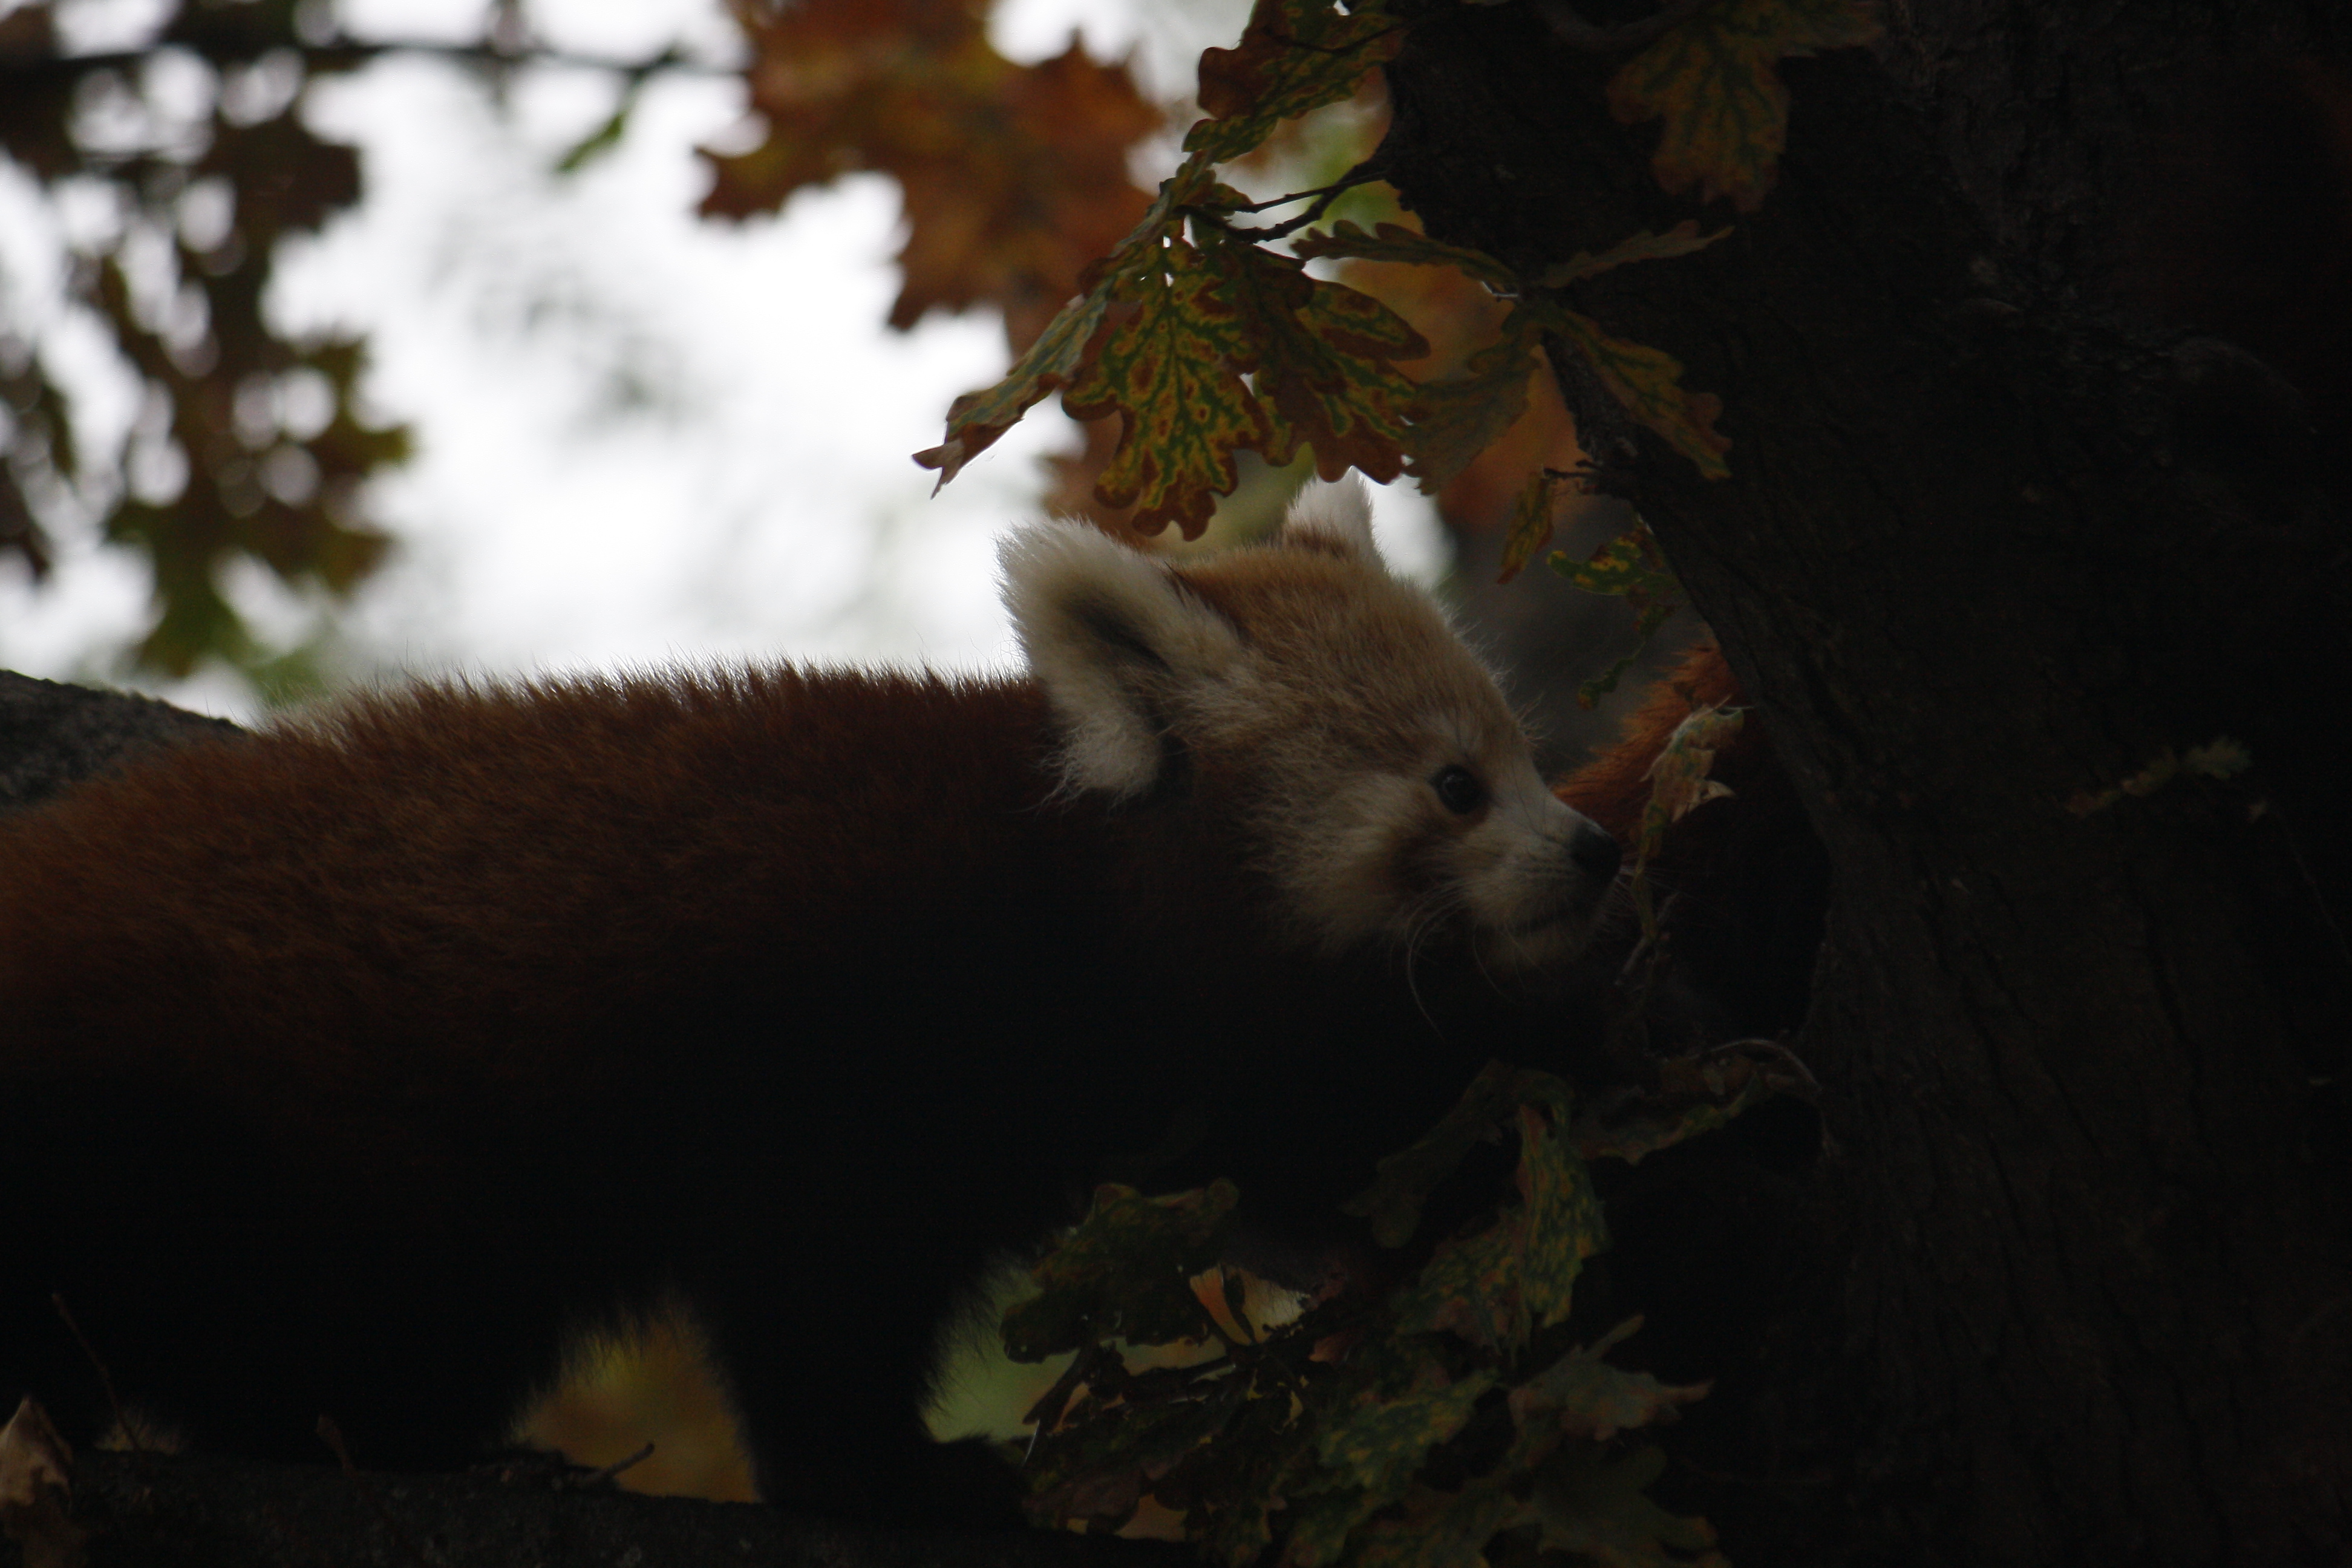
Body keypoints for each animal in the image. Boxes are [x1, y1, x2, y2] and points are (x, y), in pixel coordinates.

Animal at [0, 484, 1618, 1523]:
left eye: (1523, 756)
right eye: (1455, 787)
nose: (1592, 848)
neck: (1070, 886)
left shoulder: (1174, 1065)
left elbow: (1340, 1151)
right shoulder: (847, 1030)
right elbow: (815, 1287)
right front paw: (889, 1476)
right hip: (214, 1128)